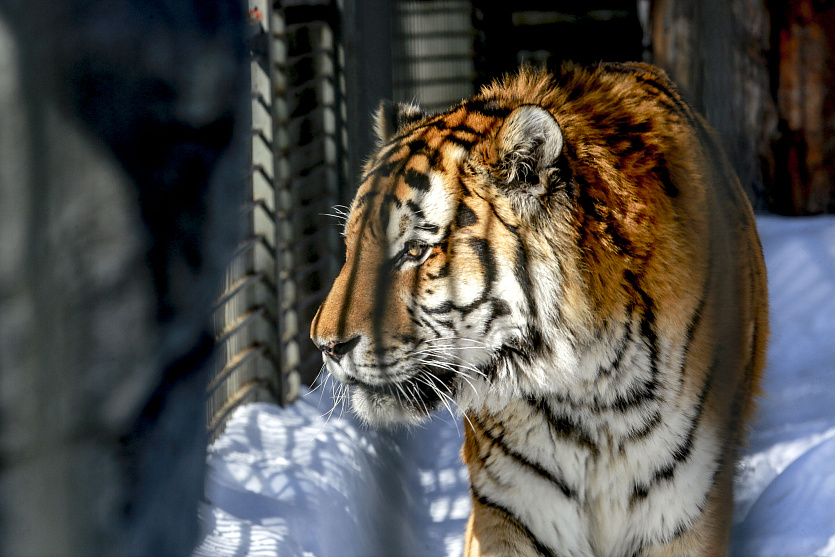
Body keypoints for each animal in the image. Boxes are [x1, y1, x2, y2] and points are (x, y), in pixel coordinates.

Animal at [310, 63, 768, 552]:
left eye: (415, 250)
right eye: (351, 247)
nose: (325, 345)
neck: (589, 391)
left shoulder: (684, 507)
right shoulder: (510, 509)